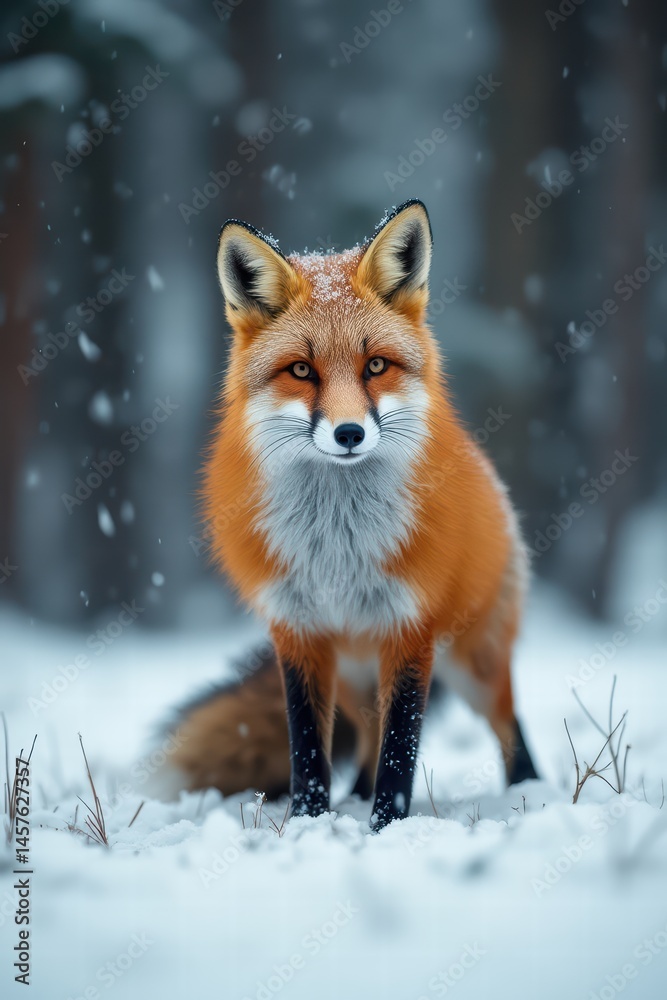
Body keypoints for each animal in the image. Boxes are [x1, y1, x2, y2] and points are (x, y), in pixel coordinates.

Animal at [171, 199, 537, 829]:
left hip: (474, 659)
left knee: (509, 725)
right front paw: (309, 822)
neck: (337, 547)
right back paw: (356, 799)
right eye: (301, 371)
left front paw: (388, 825)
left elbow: (402, 747)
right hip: (355, 676)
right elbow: (307, 746)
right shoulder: (297, 630)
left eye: (375, 366)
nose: (348, 433)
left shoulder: (411, 629)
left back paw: (530, 795)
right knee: (366, 737)